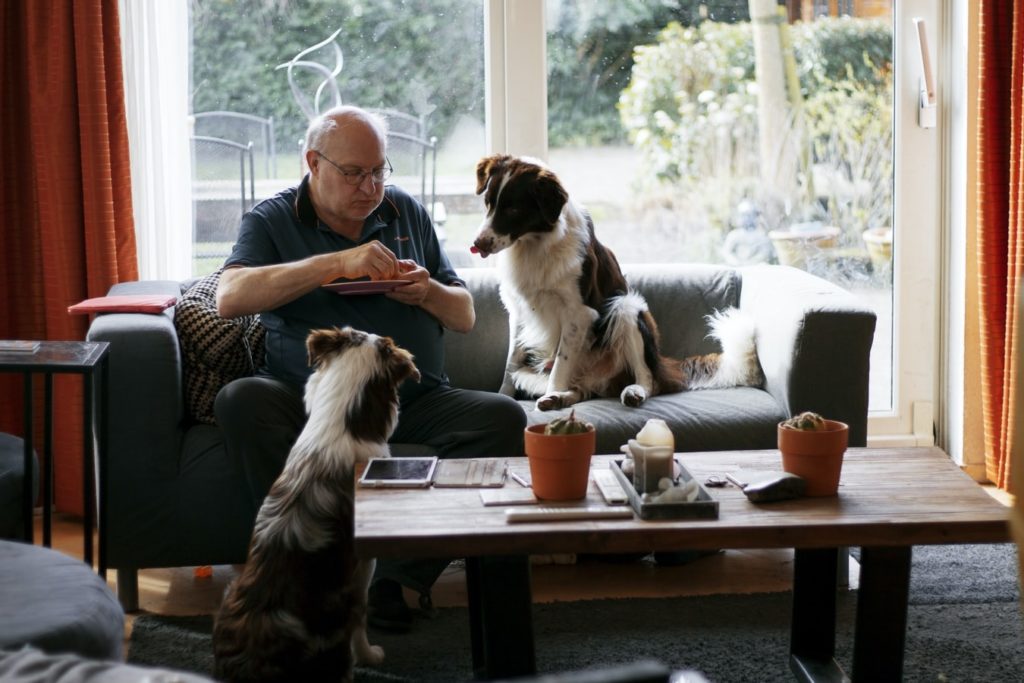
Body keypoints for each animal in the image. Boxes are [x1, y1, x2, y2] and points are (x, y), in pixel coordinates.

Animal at [471, 154, 761, 411]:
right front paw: (505, 396)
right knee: (582, 389)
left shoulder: (578, 314)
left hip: (626, 308)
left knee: (648, 378)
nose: (478, 244)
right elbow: (510, 364)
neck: (535, 244)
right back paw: (560, 399)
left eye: (513, 209)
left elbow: (560, 365)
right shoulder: (518, 311)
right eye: (488, 203)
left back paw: (631, 392)